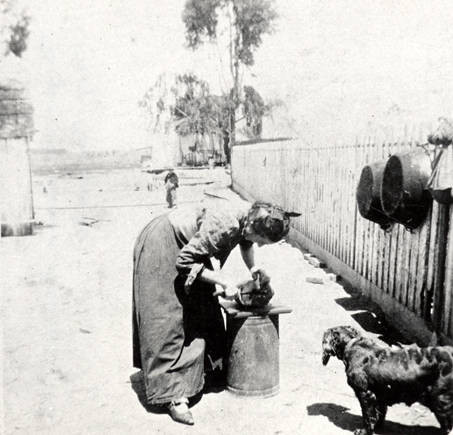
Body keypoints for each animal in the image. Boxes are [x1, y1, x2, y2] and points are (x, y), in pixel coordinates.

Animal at [322, 328, 452, 435]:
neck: (352, 343)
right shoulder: (380, 394)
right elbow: (380, 413)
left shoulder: (365, 393)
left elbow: (367, 416)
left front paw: (363, 431)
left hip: (441, 401)